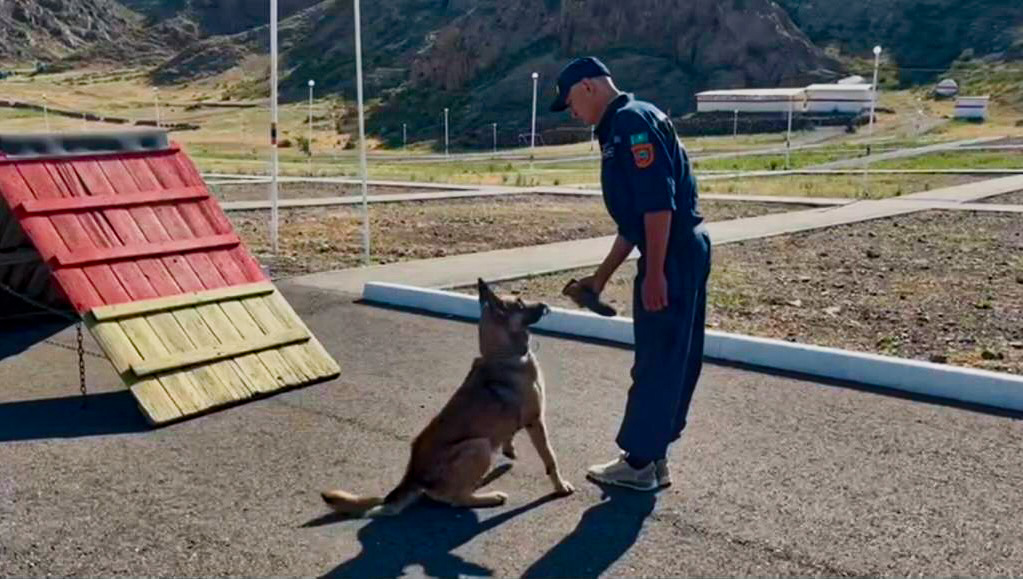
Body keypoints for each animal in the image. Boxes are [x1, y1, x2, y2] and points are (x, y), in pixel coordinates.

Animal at [321, 278, 576, 519]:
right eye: (521, 303)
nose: (545, 305)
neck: (503, 355)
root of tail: (413, 476)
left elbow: (509, 434)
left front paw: (509, 448)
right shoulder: (536, 421)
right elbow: (550, 458)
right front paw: (560, 486)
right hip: (478, 446)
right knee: (456, 498)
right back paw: (490, 497)